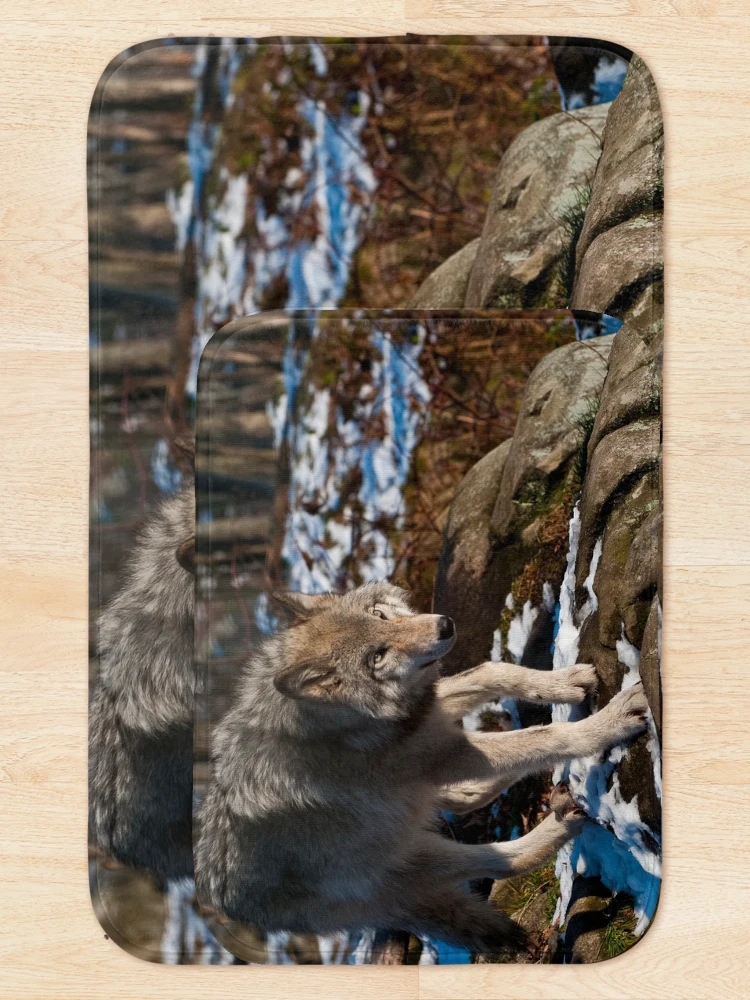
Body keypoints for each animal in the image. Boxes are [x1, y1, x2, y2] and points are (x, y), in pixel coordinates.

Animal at [195, 581, 648, 954]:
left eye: (380, 615)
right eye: (377, 657)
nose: (445, 625)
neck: (348, 720)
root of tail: (224, 905)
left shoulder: (430, 716)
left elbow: (494, 670)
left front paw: (563, 683)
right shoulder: (445, 752)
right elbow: (545, 738)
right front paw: (608, 723)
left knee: (453, 800)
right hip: (407, 858)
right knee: (499, 860)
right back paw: (559, 823)